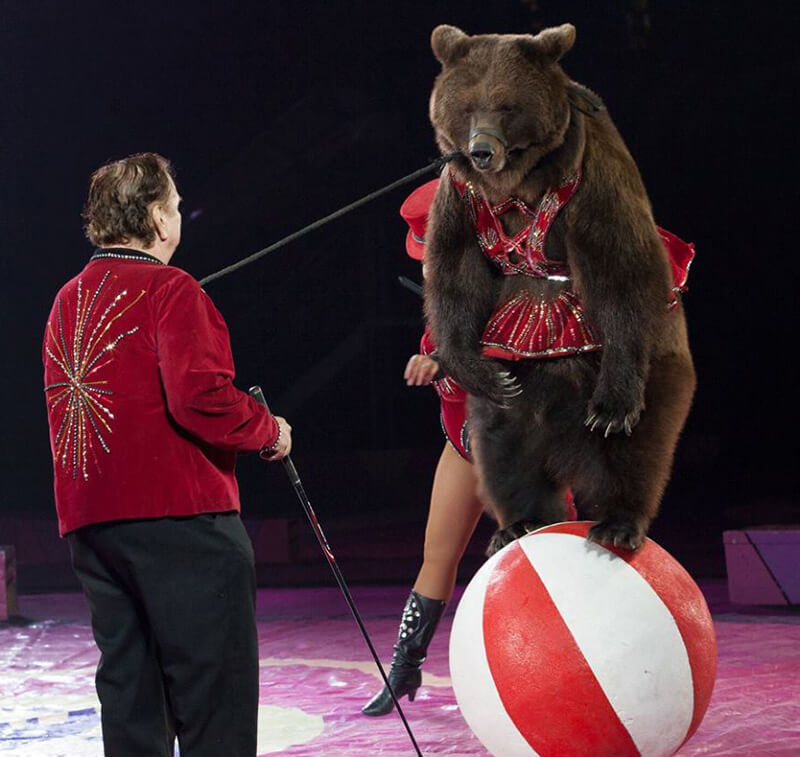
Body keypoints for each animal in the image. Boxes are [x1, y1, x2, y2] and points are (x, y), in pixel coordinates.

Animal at [424, 23, 692, 552]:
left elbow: (618, 269)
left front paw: (613, 410)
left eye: (507, 105)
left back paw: (617, 523)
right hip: (523, 389)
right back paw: (519, 522)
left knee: (638, 445)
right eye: (468, 107)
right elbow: (454, 277)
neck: (517, 182)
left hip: (654, 357)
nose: (482, 150)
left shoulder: (591, 182)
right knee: (505, 444)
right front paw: (482, 372)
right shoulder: (461, 200)